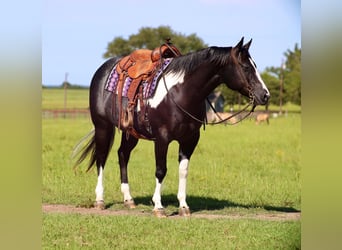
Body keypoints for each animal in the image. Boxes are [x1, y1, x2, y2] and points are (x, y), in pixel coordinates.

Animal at [74, 37, 270, 217]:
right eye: (246, 67)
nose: (265, 95)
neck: (181, 92)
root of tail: (102, 70)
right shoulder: (162, 138)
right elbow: (161, 170)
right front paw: (158, 207)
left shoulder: (190, 139)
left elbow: (183, 171)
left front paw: (183, 206)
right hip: (103, 126)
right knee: (101, 159)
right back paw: (100, 200)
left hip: (131, 132)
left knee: (123, 154)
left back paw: (128, 200)